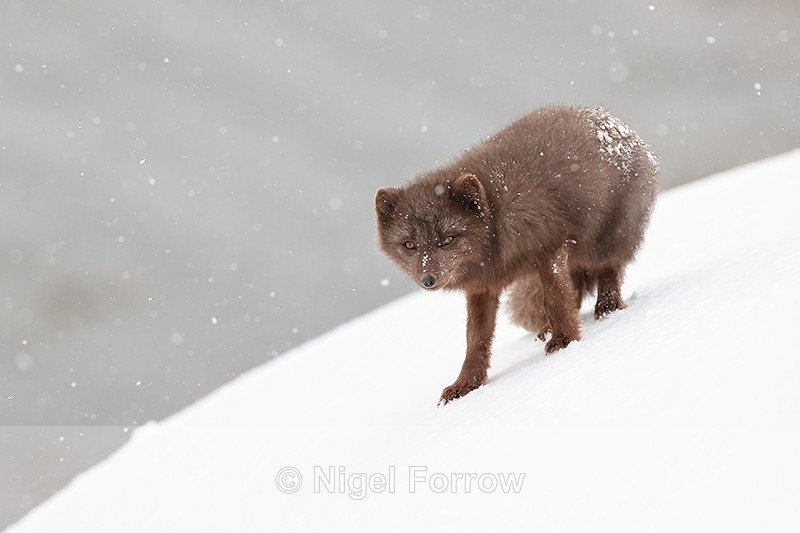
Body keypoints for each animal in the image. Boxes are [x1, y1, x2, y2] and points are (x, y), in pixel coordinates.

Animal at [375, 105, 658, 404]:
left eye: (448, 240)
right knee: (577, 288)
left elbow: (555, 299)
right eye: (409, 245)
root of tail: (618, 123)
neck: (496, 217)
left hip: (608, 238)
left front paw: (565, 341)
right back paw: (550, 327)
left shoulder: (551, 248)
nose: (428, 279)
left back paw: (607, 309)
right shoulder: (482, 287)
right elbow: (475, 339)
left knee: (607, 272)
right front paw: (466, 385)